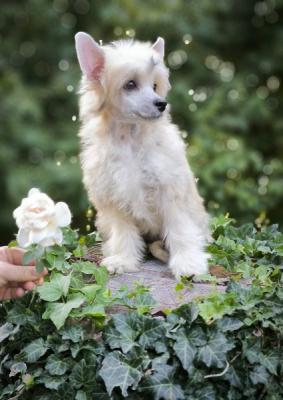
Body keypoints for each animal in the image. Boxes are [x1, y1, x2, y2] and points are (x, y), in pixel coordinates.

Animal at [75, 32, 211, 278]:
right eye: (130, 84)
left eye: (155, 85)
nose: (162, 104)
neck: (130, 138)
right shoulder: (114, 197)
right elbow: (123, 232)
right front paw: (123, 259)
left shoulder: (170, 191)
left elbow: (179, 228)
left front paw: (188, 263)